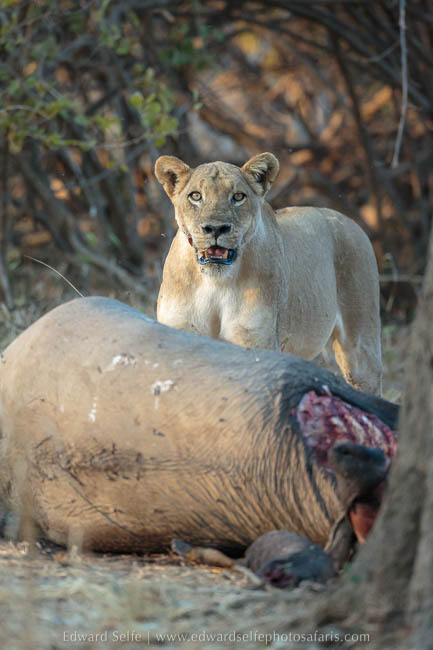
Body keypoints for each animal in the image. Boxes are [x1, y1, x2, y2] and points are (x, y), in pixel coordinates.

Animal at [155, 152, 382, 395]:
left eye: (238, 196)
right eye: (195, 196)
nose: (216, 228)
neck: (215, 283)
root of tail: (349, 221)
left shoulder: (255, 342)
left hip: (361, 348)